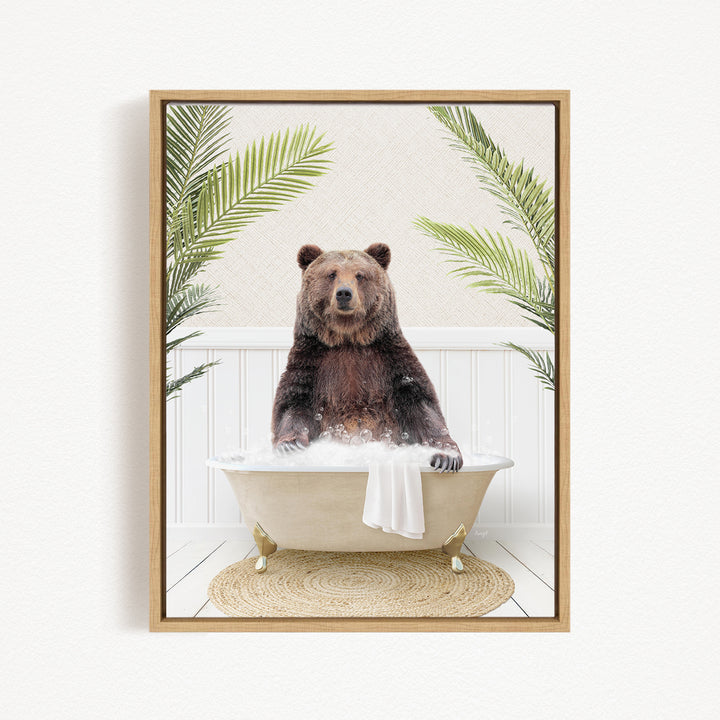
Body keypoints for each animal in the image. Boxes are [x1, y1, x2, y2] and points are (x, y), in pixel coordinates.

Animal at [271, 243, 463, 472]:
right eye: (331, 274)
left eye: (360, 275)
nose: (344, 293)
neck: (349, 338)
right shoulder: (311, 361)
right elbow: (293, 404)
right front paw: (290, 445)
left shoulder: (390, 360)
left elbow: (421, 404)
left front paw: (446, 457)